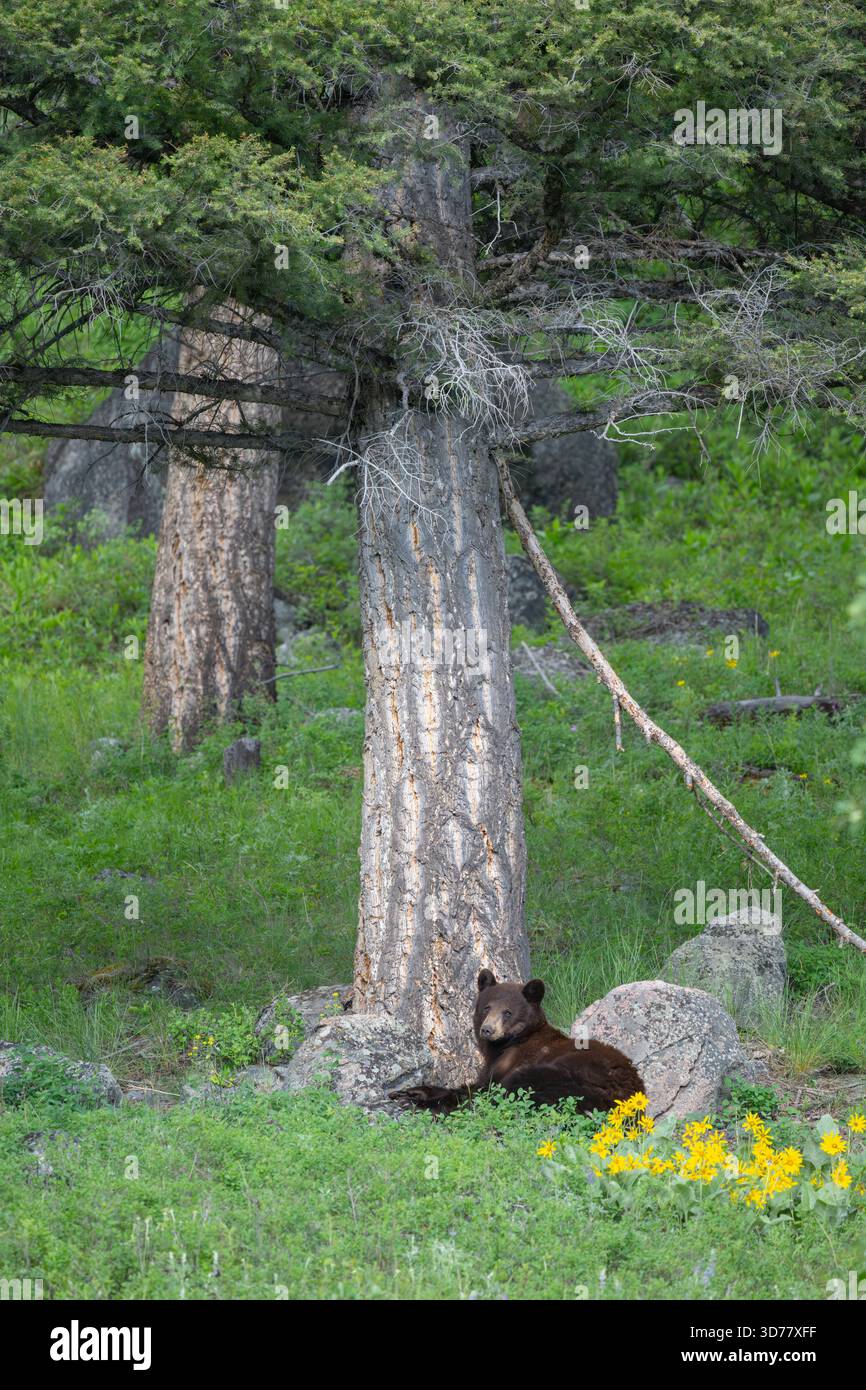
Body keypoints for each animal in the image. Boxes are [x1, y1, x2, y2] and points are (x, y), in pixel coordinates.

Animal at [390, 970, 645, 1115]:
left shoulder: (513, 1059)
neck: (506, 1044)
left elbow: (484, 1087)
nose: (487, 1030)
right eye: (487, 1007)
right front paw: (411, 1090)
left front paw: (423, 1097)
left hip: (564, 1075)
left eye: (508, 1012)